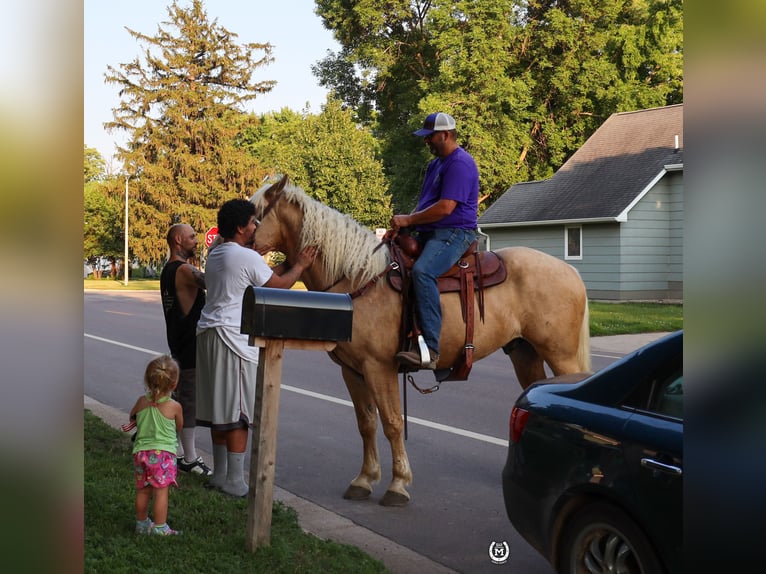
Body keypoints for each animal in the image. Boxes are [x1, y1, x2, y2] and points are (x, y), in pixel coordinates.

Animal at [249, 176, 591, 507]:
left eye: (256, 214)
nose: (242, 240)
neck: (356, 277)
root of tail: (569, 271)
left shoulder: (379, 367)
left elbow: (392, 423)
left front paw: (398, 484)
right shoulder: (352, 371)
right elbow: (366, 423)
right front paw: (364, 479)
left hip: (561, 355)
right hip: (524, 353)